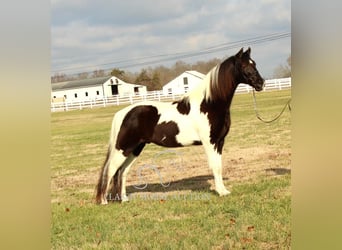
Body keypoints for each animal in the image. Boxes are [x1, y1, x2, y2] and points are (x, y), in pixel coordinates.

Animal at [95, 47, 264, 204]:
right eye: (245, 66)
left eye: (254, 63)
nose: (261, 83)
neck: (209, 104)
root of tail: (122, 113)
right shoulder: (210, 142)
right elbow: (215, 167)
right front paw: (220, 192)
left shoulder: (219, 142)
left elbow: (219, 166)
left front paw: (224, 191)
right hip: (123, 148)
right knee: (110, 170)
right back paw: (103, 201)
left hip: (135, 148)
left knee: (122, 172)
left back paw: (124, 199)